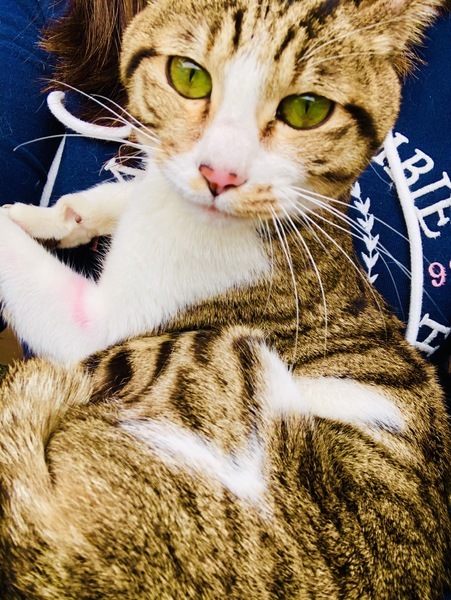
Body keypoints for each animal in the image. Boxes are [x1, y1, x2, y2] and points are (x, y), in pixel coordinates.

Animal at [0, 0, 450, 598]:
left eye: (306, 110)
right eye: (189, 77)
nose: (220, 174)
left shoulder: (98, 326)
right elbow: (132, 189)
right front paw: (60, 214)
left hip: (207, 359)